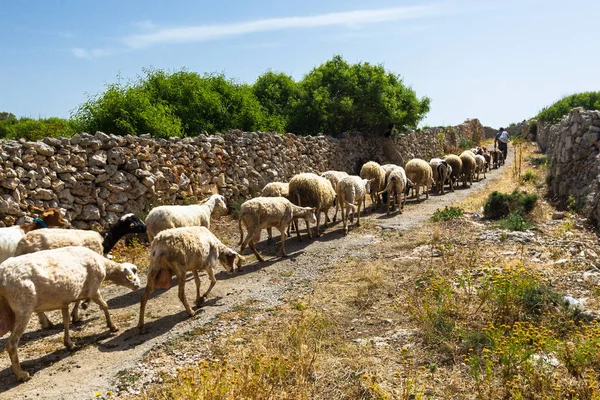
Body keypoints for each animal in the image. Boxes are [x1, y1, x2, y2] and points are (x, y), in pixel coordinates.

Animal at [0, 247, 141, 382]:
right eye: (132, 274)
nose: (138, 286)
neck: (104, 265)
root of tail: (2, 274)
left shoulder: (67, 299)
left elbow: (66, 321)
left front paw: (69, 342)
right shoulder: (93, 289)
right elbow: (105, 306)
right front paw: (112, 326)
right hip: (23, 309)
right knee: (11, 344)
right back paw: (21, 374)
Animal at [14, 214, 146, 330]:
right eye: (135, 220)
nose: (145, 227)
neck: (105, 239)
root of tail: (21, 245)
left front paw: (77, 313)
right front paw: (83, 306)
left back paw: (45, 322)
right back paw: (46, 322)